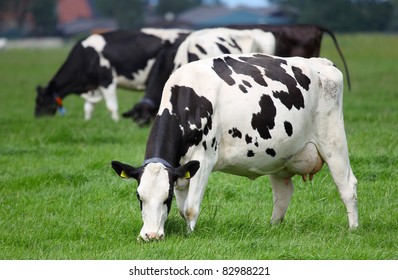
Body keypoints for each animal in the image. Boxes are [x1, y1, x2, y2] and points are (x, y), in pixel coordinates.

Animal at [34, 27, 190, 121]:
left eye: (41, 101)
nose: (37, 118)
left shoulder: (107, 80)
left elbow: (111, 107)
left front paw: (116, 122)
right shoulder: (93, 87)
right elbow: (88, 108)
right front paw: (87, 122)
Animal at [111, 53, 358, 242]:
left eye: (166, 197)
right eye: (139, 196)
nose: (151, 236)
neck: (189, 100)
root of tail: (321, 63)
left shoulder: (204, 160)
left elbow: (191, 208)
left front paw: (190, 236)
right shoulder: (181, 169)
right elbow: (182, 209)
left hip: (333, 140)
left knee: (347, 186)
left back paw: (353, 229)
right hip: (281, 156)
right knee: (283, 194)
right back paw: (273, 227)